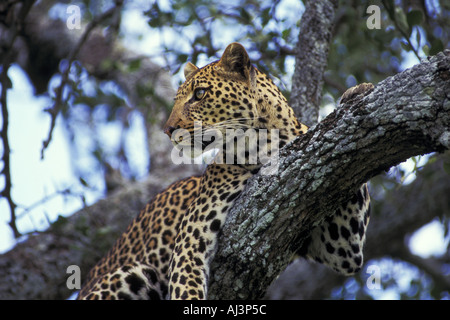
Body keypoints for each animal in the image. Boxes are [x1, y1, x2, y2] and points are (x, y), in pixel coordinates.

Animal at [77, 42, 370, 300]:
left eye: (199, 94)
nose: (168, 130)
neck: (267, 142)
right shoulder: (190, 234)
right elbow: (186, 287)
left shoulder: (339, 246)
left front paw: (356, 93)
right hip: (134, 273)